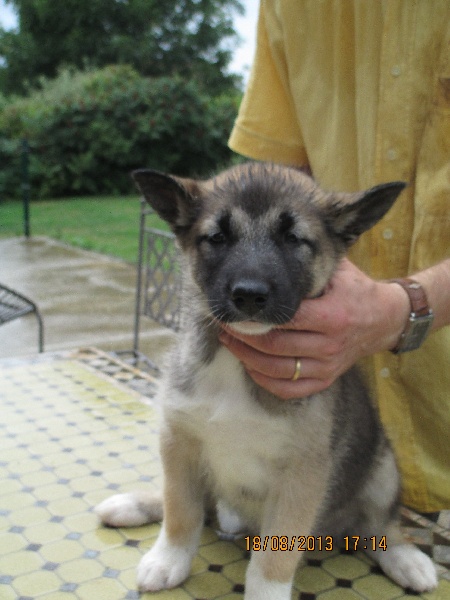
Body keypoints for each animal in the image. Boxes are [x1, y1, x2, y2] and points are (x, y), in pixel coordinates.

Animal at [96, 162, 437, 599]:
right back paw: (134, 505)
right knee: (198, 507)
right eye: (218, 237)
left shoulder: (303, 473)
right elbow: (181, 511)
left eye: (293, 239)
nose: (249, 295)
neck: (234, 365)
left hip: (383, 471)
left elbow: (274, 557)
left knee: (381, 525)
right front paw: (168, 558)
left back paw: (406, 558)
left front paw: (265, 590)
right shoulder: (179, 440)